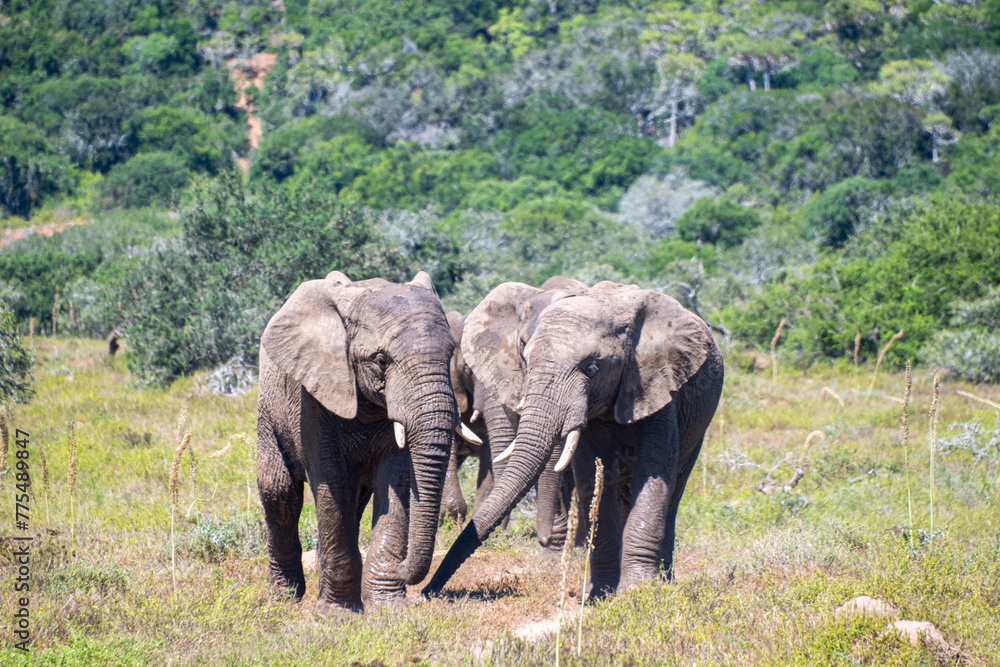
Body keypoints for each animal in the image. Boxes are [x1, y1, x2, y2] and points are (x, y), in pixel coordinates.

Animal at [256, 270, 464, 617]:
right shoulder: (313, 397)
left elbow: (394, 481)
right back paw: (283, 597)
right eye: (381, 360)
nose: (405, 572)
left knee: (355, 500)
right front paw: (338, 615)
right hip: (269, 408)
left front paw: (389, 609)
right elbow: (333, 482)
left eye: (450, 355)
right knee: (280, 493)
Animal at [423, 279, 724, 600]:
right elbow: (593, 476)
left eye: (591, 368)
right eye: (525, 356)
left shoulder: (657, 384)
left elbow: (653, 473)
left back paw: (665, 583)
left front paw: (635, 593)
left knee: (674, 489)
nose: (428, 591)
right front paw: (599, 594)